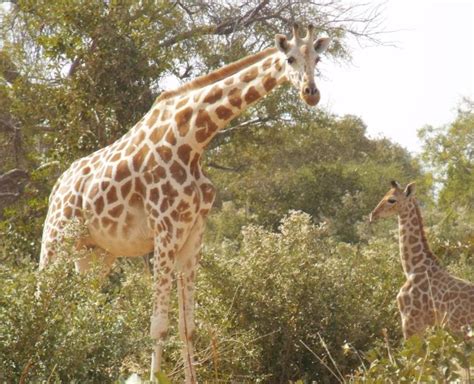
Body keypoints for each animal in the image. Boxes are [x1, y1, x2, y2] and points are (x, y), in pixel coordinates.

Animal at [39, 25, 330, 382]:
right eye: (289, 58)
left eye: (317, 59)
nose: (311, 93)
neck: (193, 140)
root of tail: (58, 186)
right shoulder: (164, 232)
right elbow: (158, 327)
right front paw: (154, 376)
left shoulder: (193, 234)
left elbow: (188, 327)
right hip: (56, 239)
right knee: (40, 299)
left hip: (95, 253)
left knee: (82, 309)